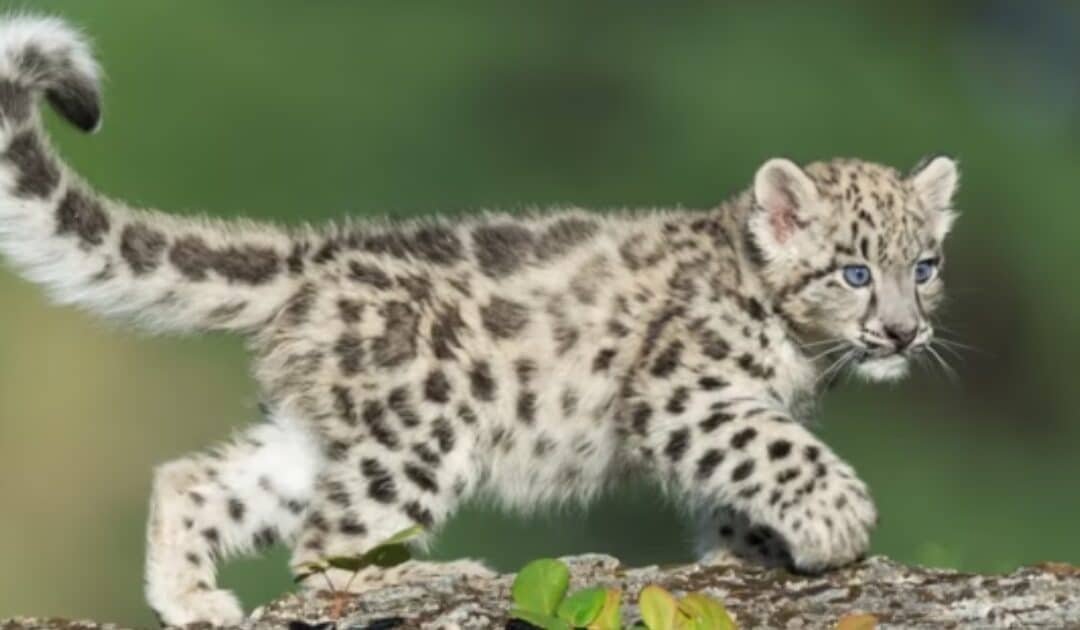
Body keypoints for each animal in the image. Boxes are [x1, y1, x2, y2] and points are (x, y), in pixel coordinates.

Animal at [0, 16, 959, 627]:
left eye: (925, 266)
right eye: (855, 271)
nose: (904, 333)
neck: (801, 353)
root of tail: (315, 254)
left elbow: (744, 478)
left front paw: (751, 552)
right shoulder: (687, 391)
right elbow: (775, 449)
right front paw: (838, 522)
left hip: (324, 435)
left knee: (196, 482)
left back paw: (195, 602)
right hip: (420, 429)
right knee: (327, 545)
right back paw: (437, 579)